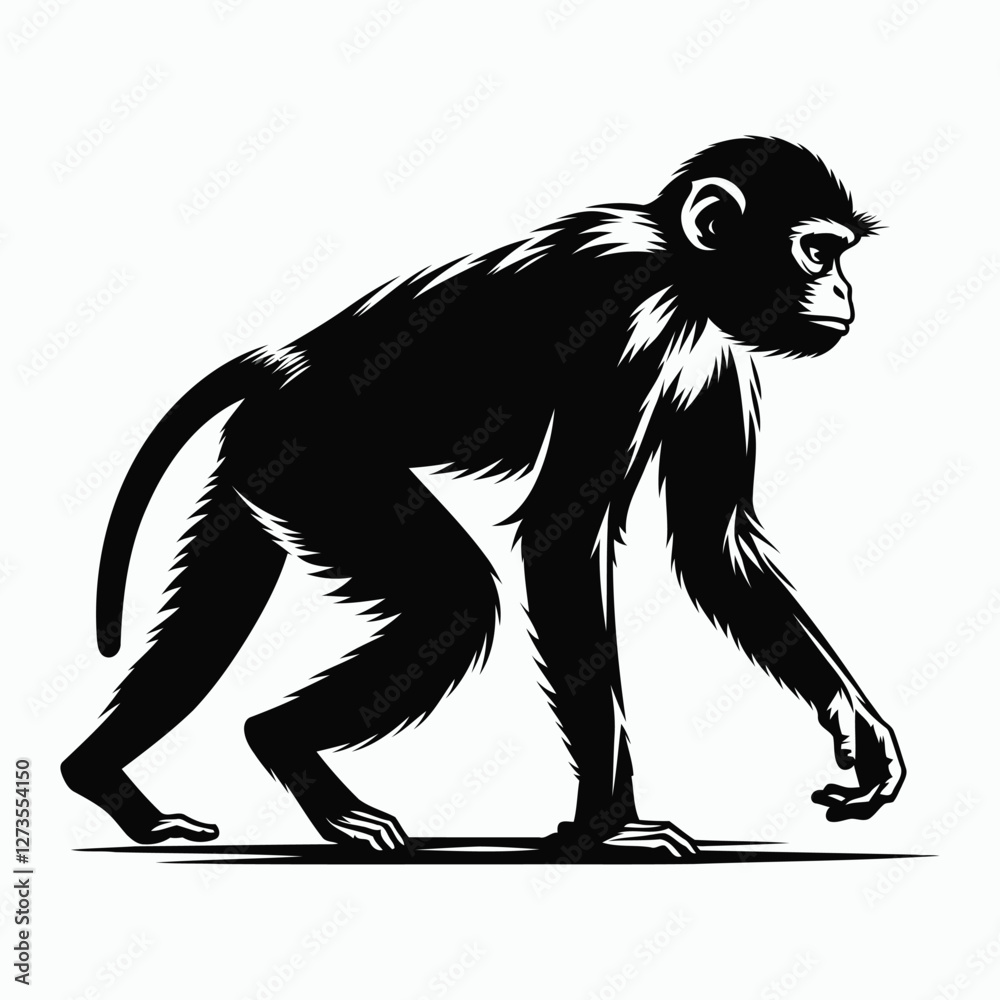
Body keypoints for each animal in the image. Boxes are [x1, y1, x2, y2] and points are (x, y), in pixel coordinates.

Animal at [62, 136, 905, 853]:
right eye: (818, 251)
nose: (844, 290)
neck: (679, 271)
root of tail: (282, 362)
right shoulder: (619, 322)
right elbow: (563, 536)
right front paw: (607, 828)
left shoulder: (718, 363)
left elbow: (710, 546)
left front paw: (856, 726)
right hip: (314, 457)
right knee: (454, 605)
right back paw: (282, 746)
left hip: (262, 464)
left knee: (211, 622)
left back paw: (105, 781)